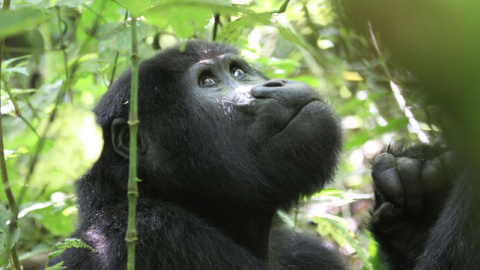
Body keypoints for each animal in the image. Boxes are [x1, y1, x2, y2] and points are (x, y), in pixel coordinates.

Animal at [49, 41, 458, 268]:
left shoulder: (303, 251)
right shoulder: (152, 233)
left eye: (238, 71)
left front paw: (414, 197)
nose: (272, 83)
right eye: (208, 81)